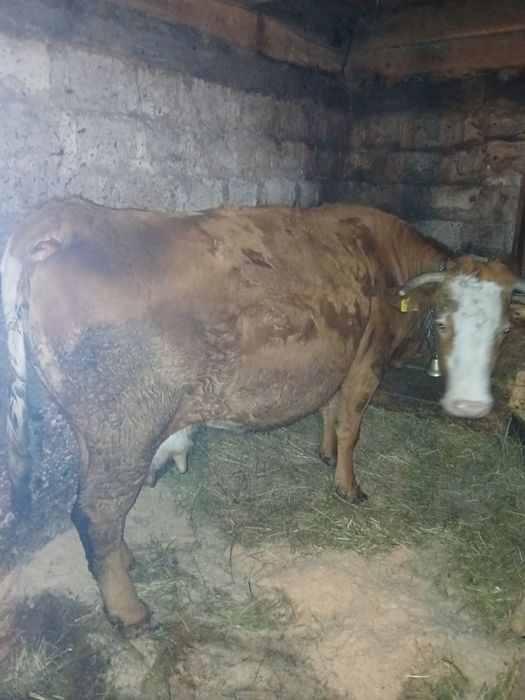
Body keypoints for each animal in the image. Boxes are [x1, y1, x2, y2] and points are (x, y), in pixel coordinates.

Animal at [2, 198, 523, 635]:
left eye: (505, 330)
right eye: (444, 322)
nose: (471, 405)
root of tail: (75, 216)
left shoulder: (337, 356)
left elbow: (328, 408)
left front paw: (324, 453)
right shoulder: (366, 360)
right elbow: (351, 424)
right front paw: (347, 486)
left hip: (98, 433)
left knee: (99, 508)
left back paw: (126, 562)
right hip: (126, 430)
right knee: (97, 513)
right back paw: (130, 613)